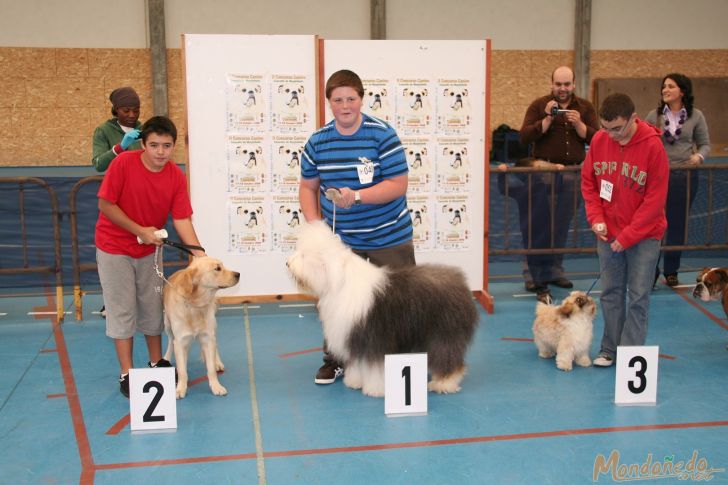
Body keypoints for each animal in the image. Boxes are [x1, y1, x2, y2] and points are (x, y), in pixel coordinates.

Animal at [163, 255, 240, 398]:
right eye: (217, 268)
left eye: (222, 266)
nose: (238, 274)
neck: (195, 305)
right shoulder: (180, 340)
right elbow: (182, 371)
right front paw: (180, 389)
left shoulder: (207, 336)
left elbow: (211, 369)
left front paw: (216, 386)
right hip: (167, 325)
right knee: (170, 341)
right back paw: (166, 357)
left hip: (213, 325)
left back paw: (217, 362)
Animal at [288, 219, 480, 398]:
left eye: (304, 255)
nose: (287, 263)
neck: (339, 282)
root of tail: (462, 284)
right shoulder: (355, 338)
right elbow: (358, 364)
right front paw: (354, 381)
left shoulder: (374, 339)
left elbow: (375, 368)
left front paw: (375, 389)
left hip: (443, 334)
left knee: (448, 359)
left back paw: (444, 383)